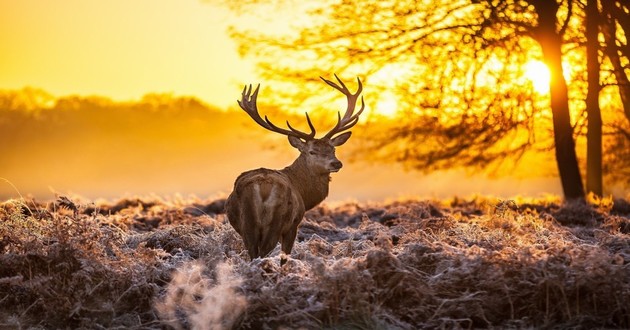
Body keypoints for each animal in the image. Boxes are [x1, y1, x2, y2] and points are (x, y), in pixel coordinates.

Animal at [226, 75, 366, 262]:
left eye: (333, 149)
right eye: (312, 151)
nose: (336, 163)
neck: (304, 193)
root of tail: (262, 187)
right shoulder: (294, 224)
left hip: (247, 225)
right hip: (277, 222)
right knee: (264, 253)